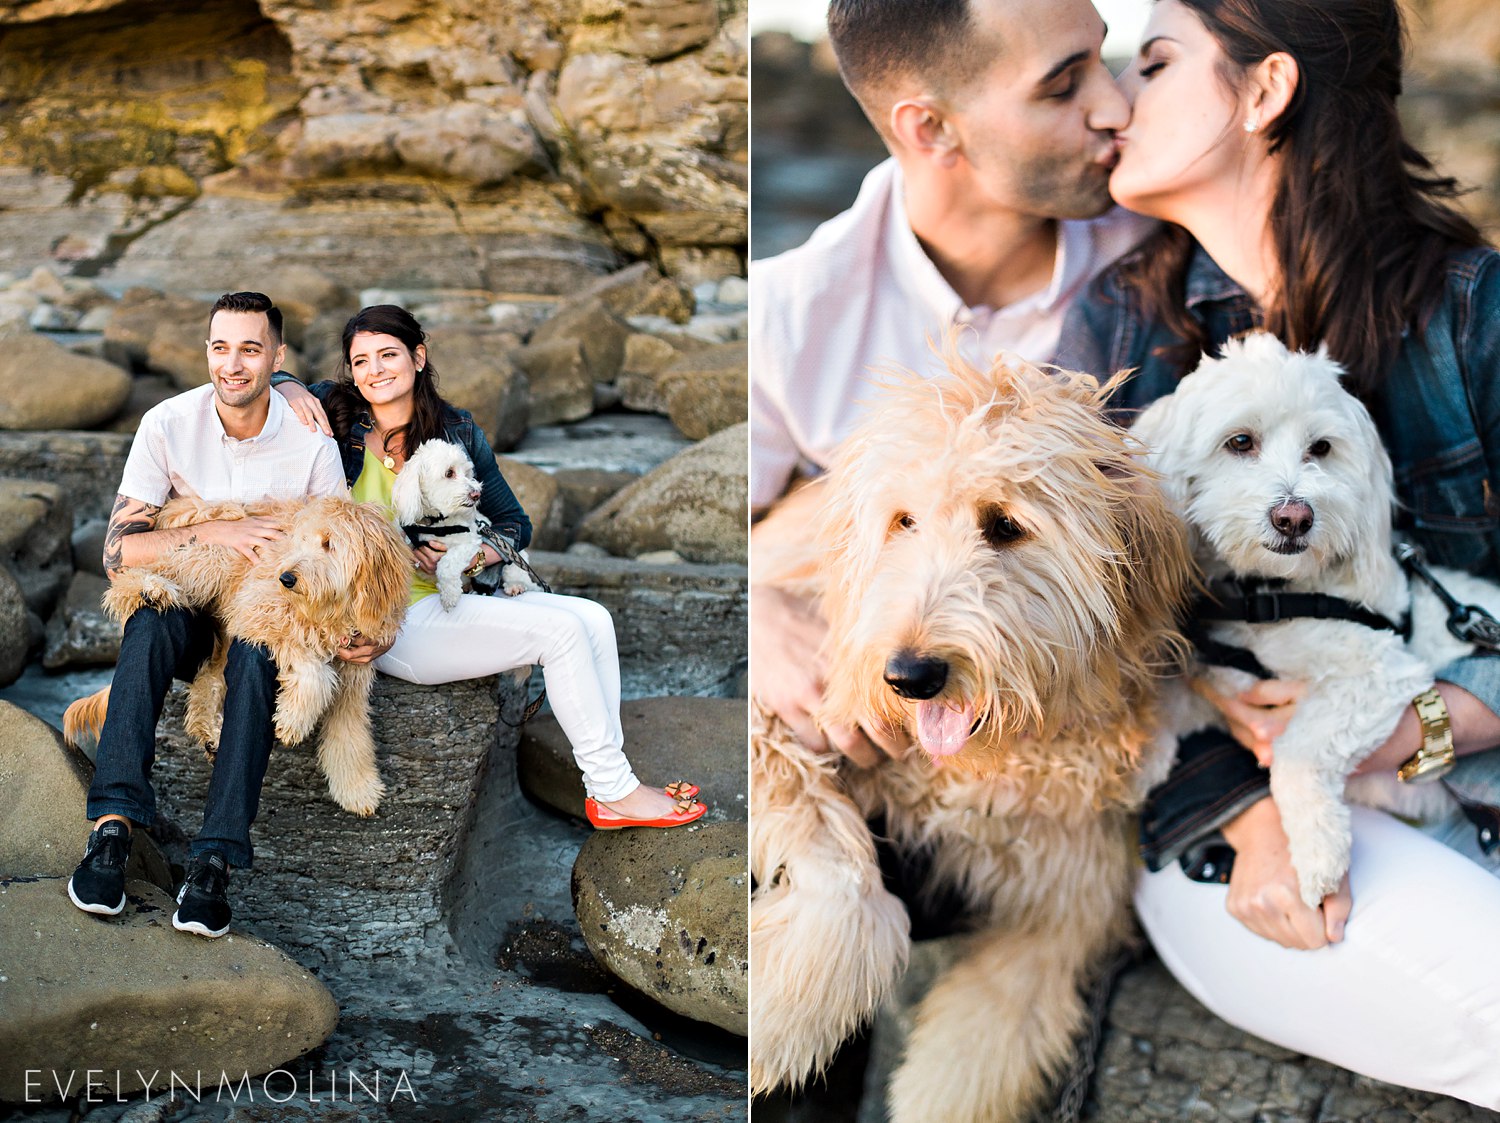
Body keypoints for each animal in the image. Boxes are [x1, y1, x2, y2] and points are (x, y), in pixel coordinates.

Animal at [66, 497, 411, 815]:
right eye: (300, 541)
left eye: (330, 544)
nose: (286, 578)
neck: (333, 609)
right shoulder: (258, 611)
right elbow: (314, 670)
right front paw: (293, 719)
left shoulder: (354, 675)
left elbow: (349, 733)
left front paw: (358, 789)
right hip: (210, 556)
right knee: (131, 578)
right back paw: (150, 589)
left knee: (209, 677)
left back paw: (208, 730)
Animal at [390, 443, 543, 608]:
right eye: (449, 473)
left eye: (467, 473)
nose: (477, 494)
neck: (434, 522)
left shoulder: (469, 543)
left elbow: (447, 565)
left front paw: (449, 595)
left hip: (513, 556)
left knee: (516, 573)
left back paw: (516, 585)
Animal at [750, 352, 1194, 1121]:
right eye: (903, 521)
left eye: (1007, 525)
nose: (909, 675)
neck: (975, 766)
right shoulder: (778, 708)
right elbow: (844, 881)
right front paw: (779, 1022)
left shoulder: (1066, 904)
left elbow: (979, 1045)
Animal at [1134, 331, 1500, 899]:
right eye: (1240, 442)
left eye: (1322, 448)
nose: (1295, 517)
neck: (1266, 595)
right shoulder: (1225, 682)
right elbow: (1173, 701)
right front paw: (1138, 761)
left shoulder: (1380, 672)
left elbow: (1296, 754)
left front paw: (1318, 853)